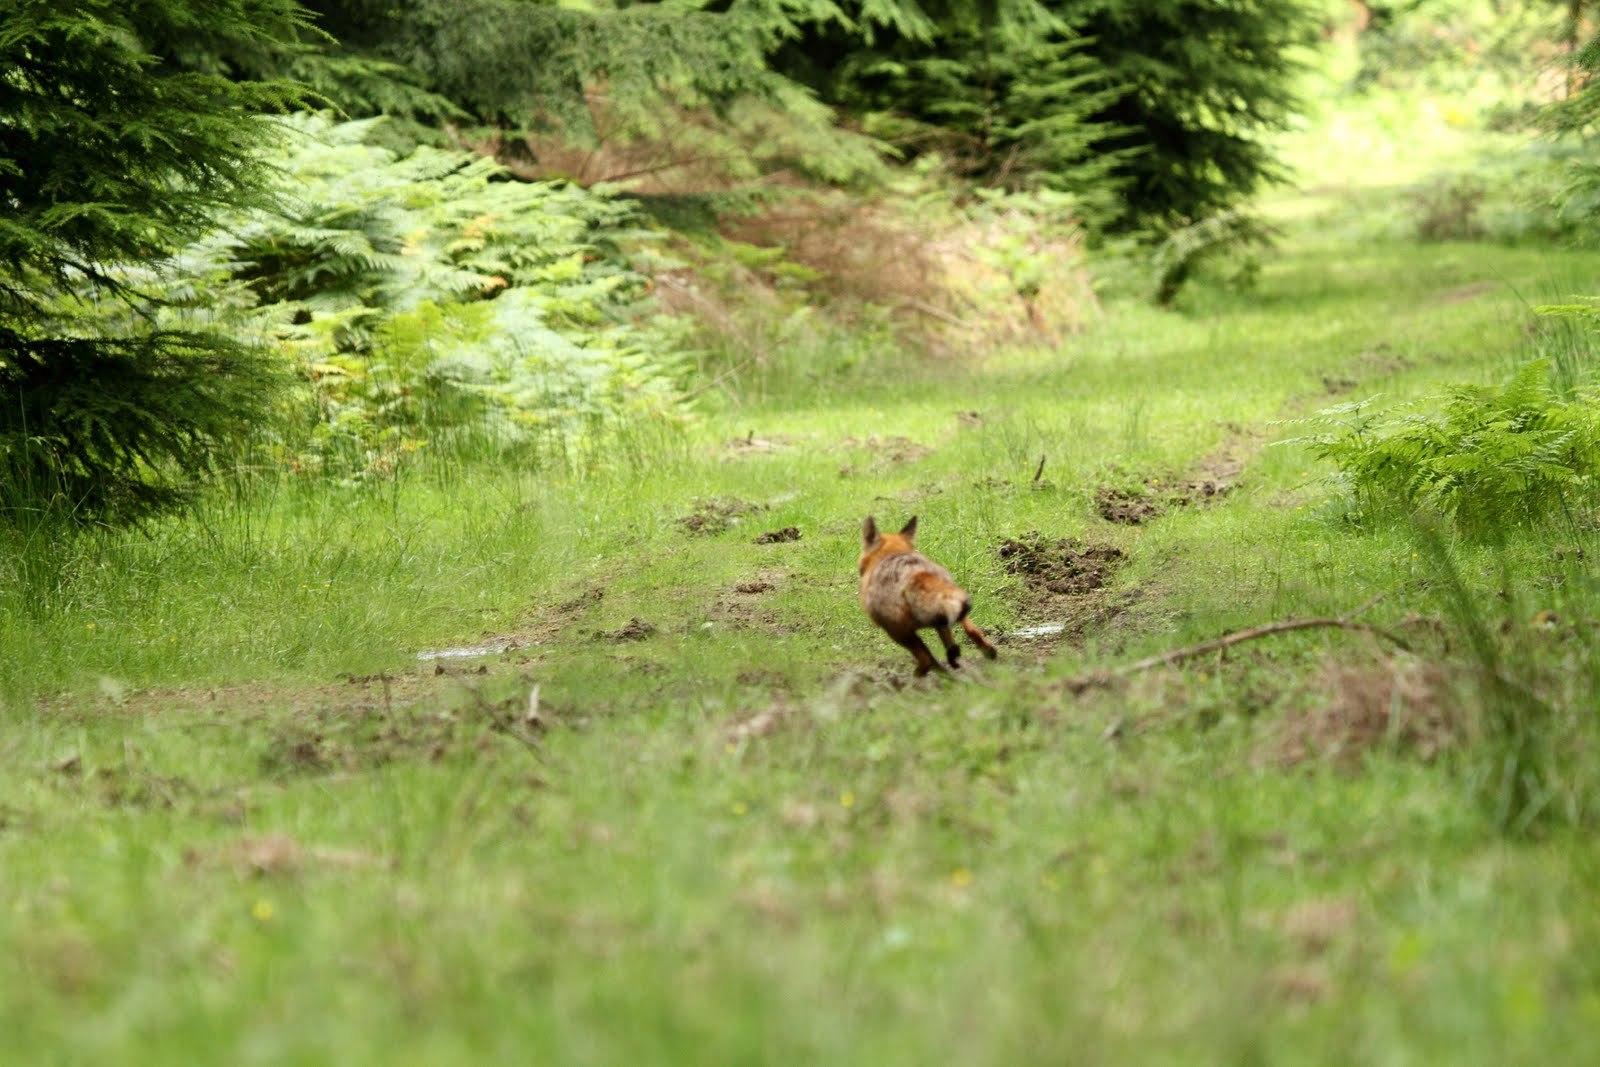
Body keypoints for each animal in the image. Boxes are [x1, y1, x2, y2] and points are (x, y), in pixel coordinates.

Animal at [857, 515, 992, 675]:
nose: (860, 571)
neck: (890, 554)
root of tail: (918, 573)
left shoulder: (895, 629)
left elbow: (929, 656)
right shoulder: (940, 622)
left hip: (899, 632)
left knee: (926, 660)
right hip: (954, 606)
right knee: (972, 633)